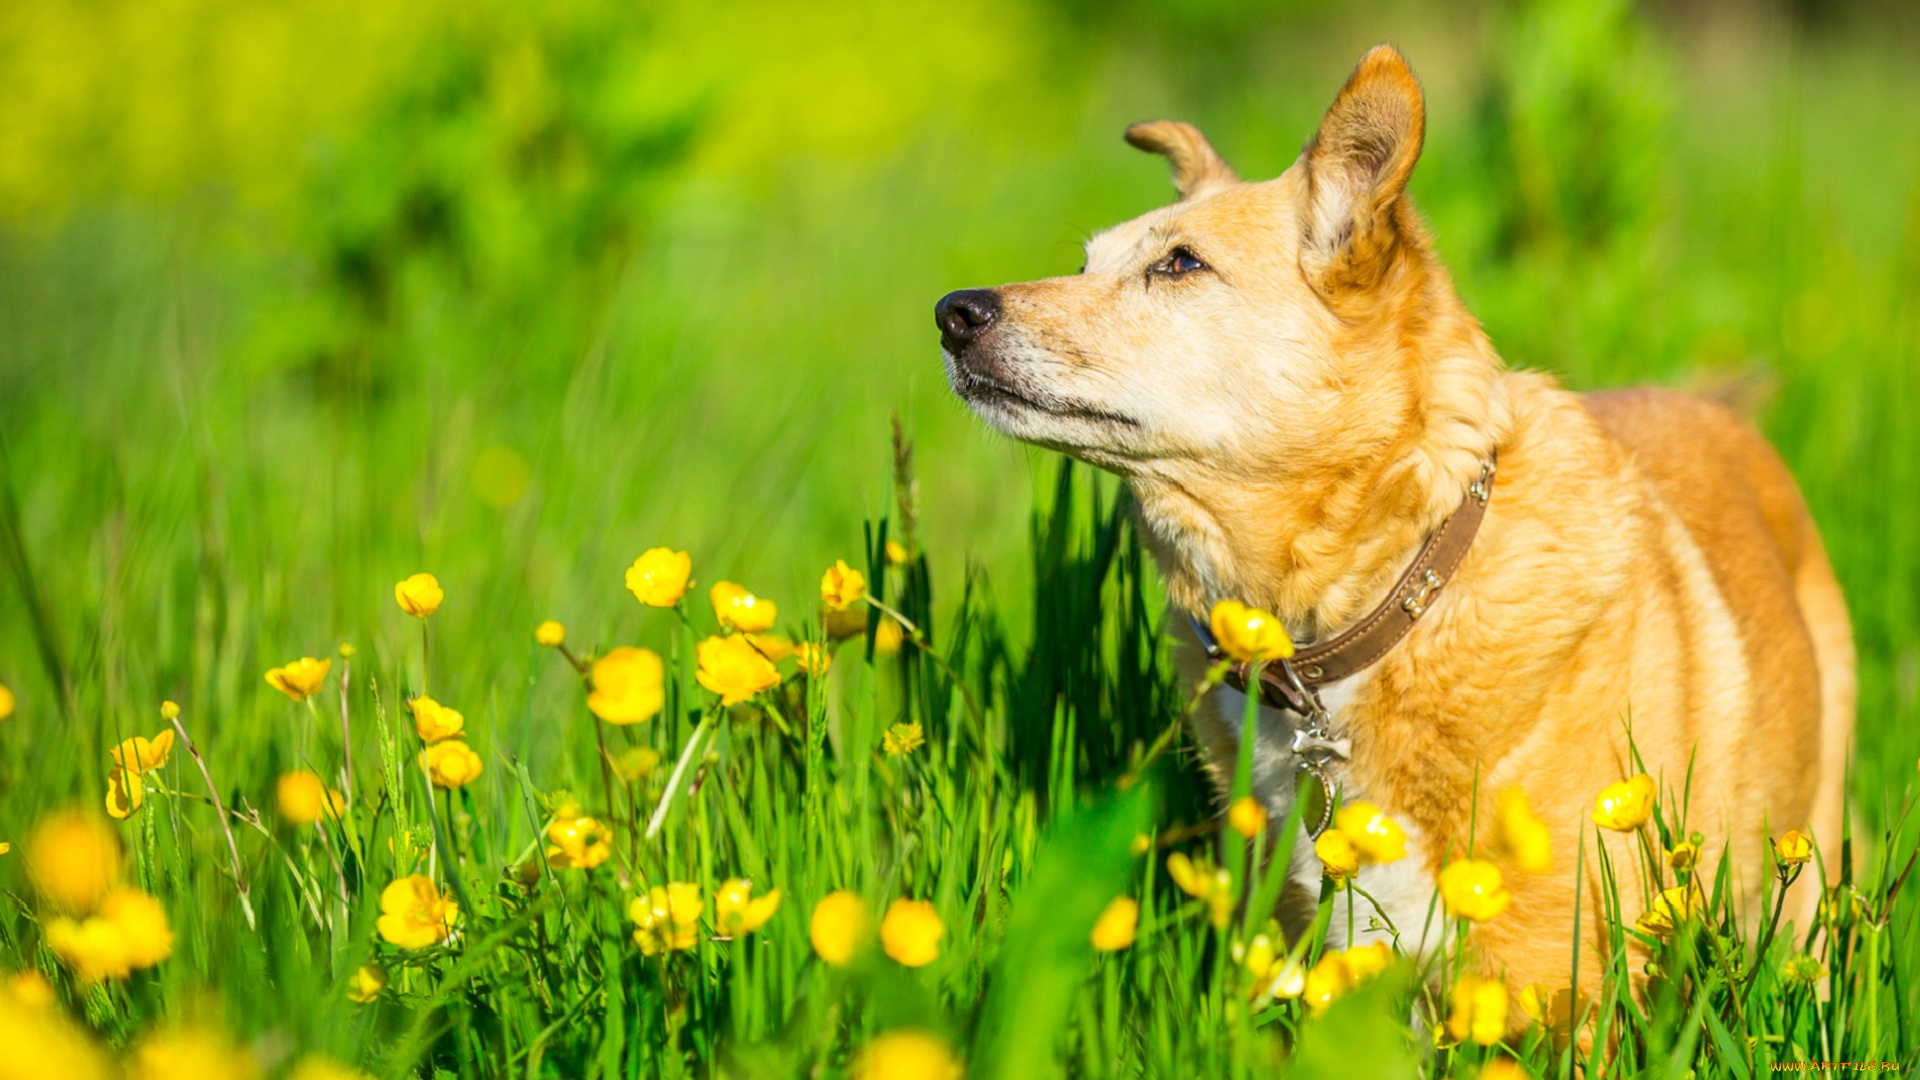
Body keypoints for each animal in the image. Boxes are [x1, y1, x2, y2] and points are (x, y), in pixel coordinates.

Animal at [936, 42, 1850, 1006]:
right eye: (1085, 264)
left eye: (1180, 265)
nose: (954, 313)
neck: (1389, 595)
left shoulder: (1565, 988)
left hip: (1805, 873)